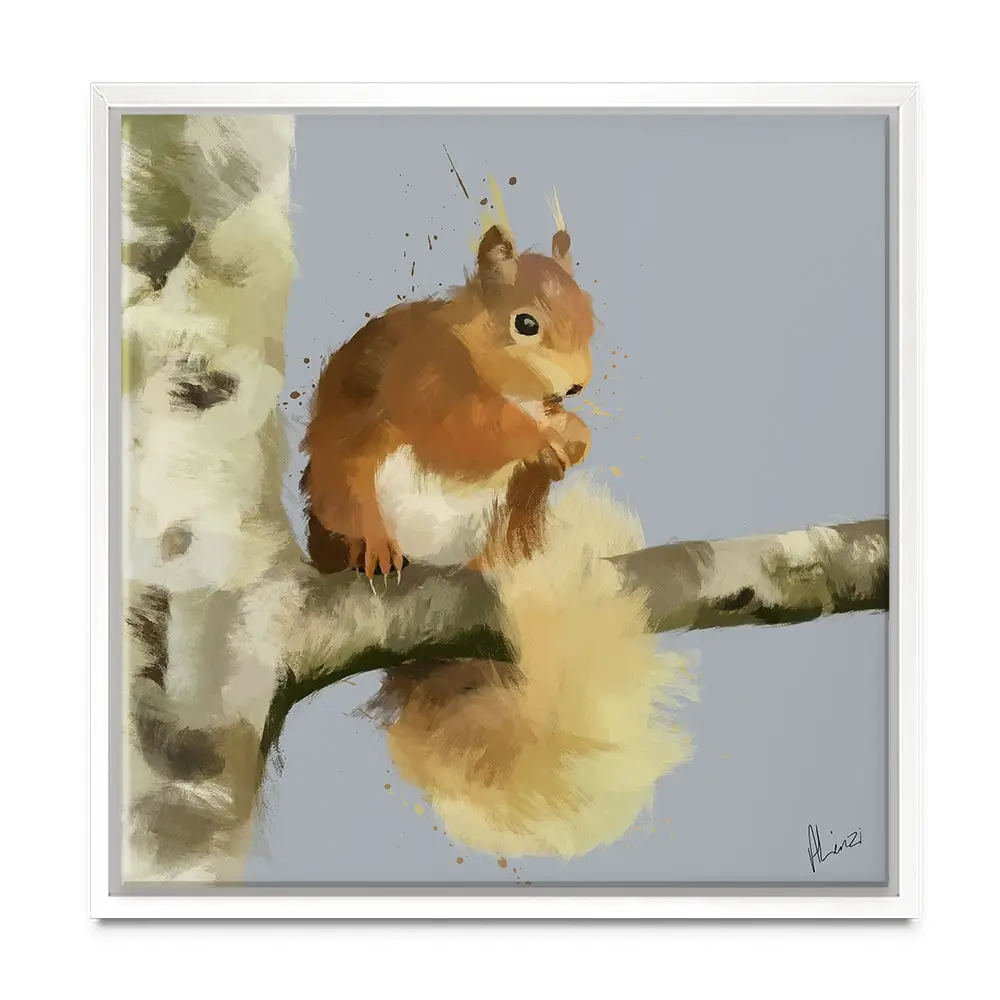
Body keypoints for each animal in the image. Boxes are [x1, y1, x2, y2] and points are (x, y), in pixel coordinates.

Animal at [301, 217, 596, 582]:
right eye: (526, 323)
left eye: (589, 313)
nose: (577, 385)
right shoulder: (427, 384)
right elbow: (463, 435)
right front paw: (539, 438)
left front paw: (577, 435)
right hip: (344, 487)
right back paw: (376, 549)